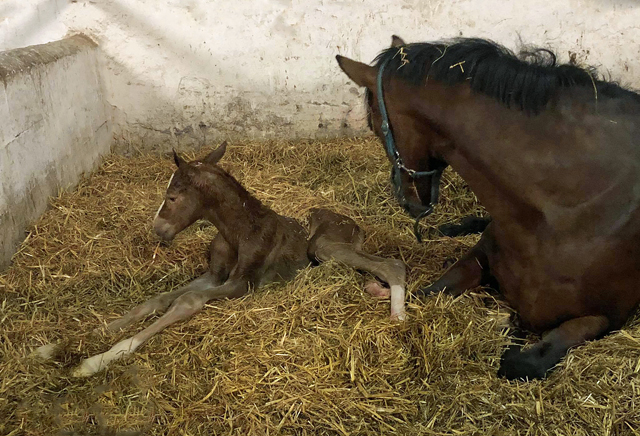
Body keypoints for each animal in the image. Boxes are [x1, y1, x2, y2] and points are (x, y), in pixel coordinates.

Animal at [65, 143, 404, 378]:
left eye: (172, 197)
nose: (157, 229)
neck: (237, 232)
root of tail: (356, 225)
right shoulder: (215, 275)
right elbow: (158, 300)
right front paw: (97, 332)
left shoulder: (244, 283)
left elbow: (187, 300)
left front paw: (98, 360)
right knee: (368, 271)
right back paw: (379, 292)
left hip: (323, 247)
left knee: (392, 265)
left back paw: (398, 316)